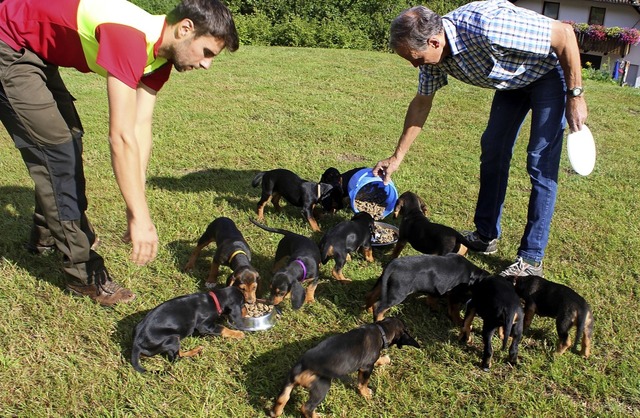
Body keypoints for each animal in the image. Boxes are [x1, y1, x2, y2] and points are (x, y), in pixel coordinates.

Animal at [270, 316, 420, 418]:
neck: (381, 330)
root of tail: (301, 368)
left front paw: (385, 359)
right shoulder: (366, 367)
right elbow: (363, 382)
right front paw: (366, 394)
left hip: (288, 382)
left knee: (282, 398)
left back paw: (275, 413)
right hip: (322, 386)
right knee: (306, 407)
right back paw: (316, 415)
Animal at [362, 251, 492, 324]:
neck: (471, 273)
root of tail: (393, 264)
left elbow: (433, 297)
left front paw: (433, 307)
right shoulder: (455, 295)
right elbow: (454, 309)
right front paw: (459, 321)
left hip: (382, 283)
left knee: (370, 295)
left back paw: (368, 310)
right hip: (397, 293)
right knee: (379, 307)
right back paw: (379, 320)